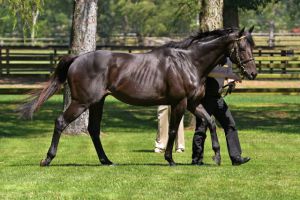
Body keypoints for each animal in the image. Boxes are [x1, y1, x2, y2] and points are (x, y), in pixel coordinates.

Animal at [19, 27, 256, 166]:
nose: (252, 73)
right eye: (243, 47)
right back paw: (47, 159)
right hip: (81, 102)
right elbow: (172, 130)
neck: (189, 62)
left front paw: (217, 156)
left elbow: (211, 122)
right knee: (60, 122)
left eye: (251, 46)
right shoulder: (179, 103)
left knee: (93, 130)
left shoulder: (193, 104)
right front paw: (170, 159)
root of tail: (77, 59)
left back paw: (107, 161)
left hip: (97, 102)